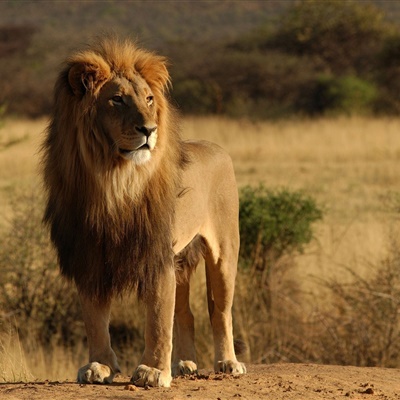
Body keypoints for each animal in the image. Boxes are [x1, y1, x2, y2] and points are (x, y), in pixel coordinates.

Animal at [42, 37, 245, 388]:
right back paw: (184, 364)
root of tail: (216, 147)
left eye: (149, 99)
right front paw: (99, 366)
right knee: (186, 313)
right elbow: (95, 318)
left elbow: (158, 319)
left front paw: (152, 371)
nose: (149, 129)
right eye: (117, 100)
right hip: (182, 260)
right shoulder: (89, 254)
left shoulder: (156, 254)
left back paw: (228, 362)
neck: (113, 180)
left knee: (220, 311)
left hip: (224, 252)